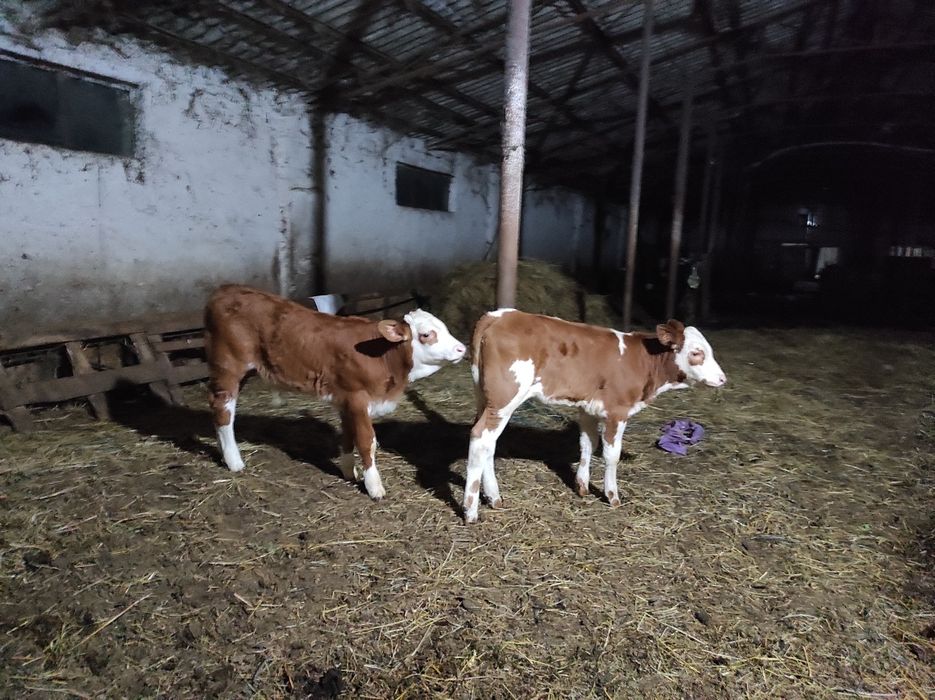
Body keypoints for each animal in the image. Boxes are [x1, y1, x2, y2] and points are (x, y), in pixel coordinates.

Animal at [204, 284, 466, 500]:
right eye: (426, 335)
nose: (461, 348)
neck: (384, 357)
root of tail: (225, 289)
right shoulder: (358, 397)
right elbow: (367, 441)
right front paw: (374, 487)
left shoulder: (345, 400)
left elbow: (348, 436)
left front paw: (349, 471)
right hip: (229, 366)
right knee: (223, 409)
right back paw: (235, 462)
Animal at [464, 310, 726, 523]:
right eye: (696, 353)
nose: (723, 379)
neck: (642, 361)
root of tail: (498, 315)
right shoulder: (617, 412)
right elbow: (611, 455)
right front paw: (612, 496)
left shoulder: (587, 408)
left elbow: (587, 443)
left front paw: (582, 487)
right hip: (504, 399)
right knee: (480, 438)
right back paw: (470, 511)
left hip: (485, 397)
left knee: (488, 443)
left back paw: (494, 498)